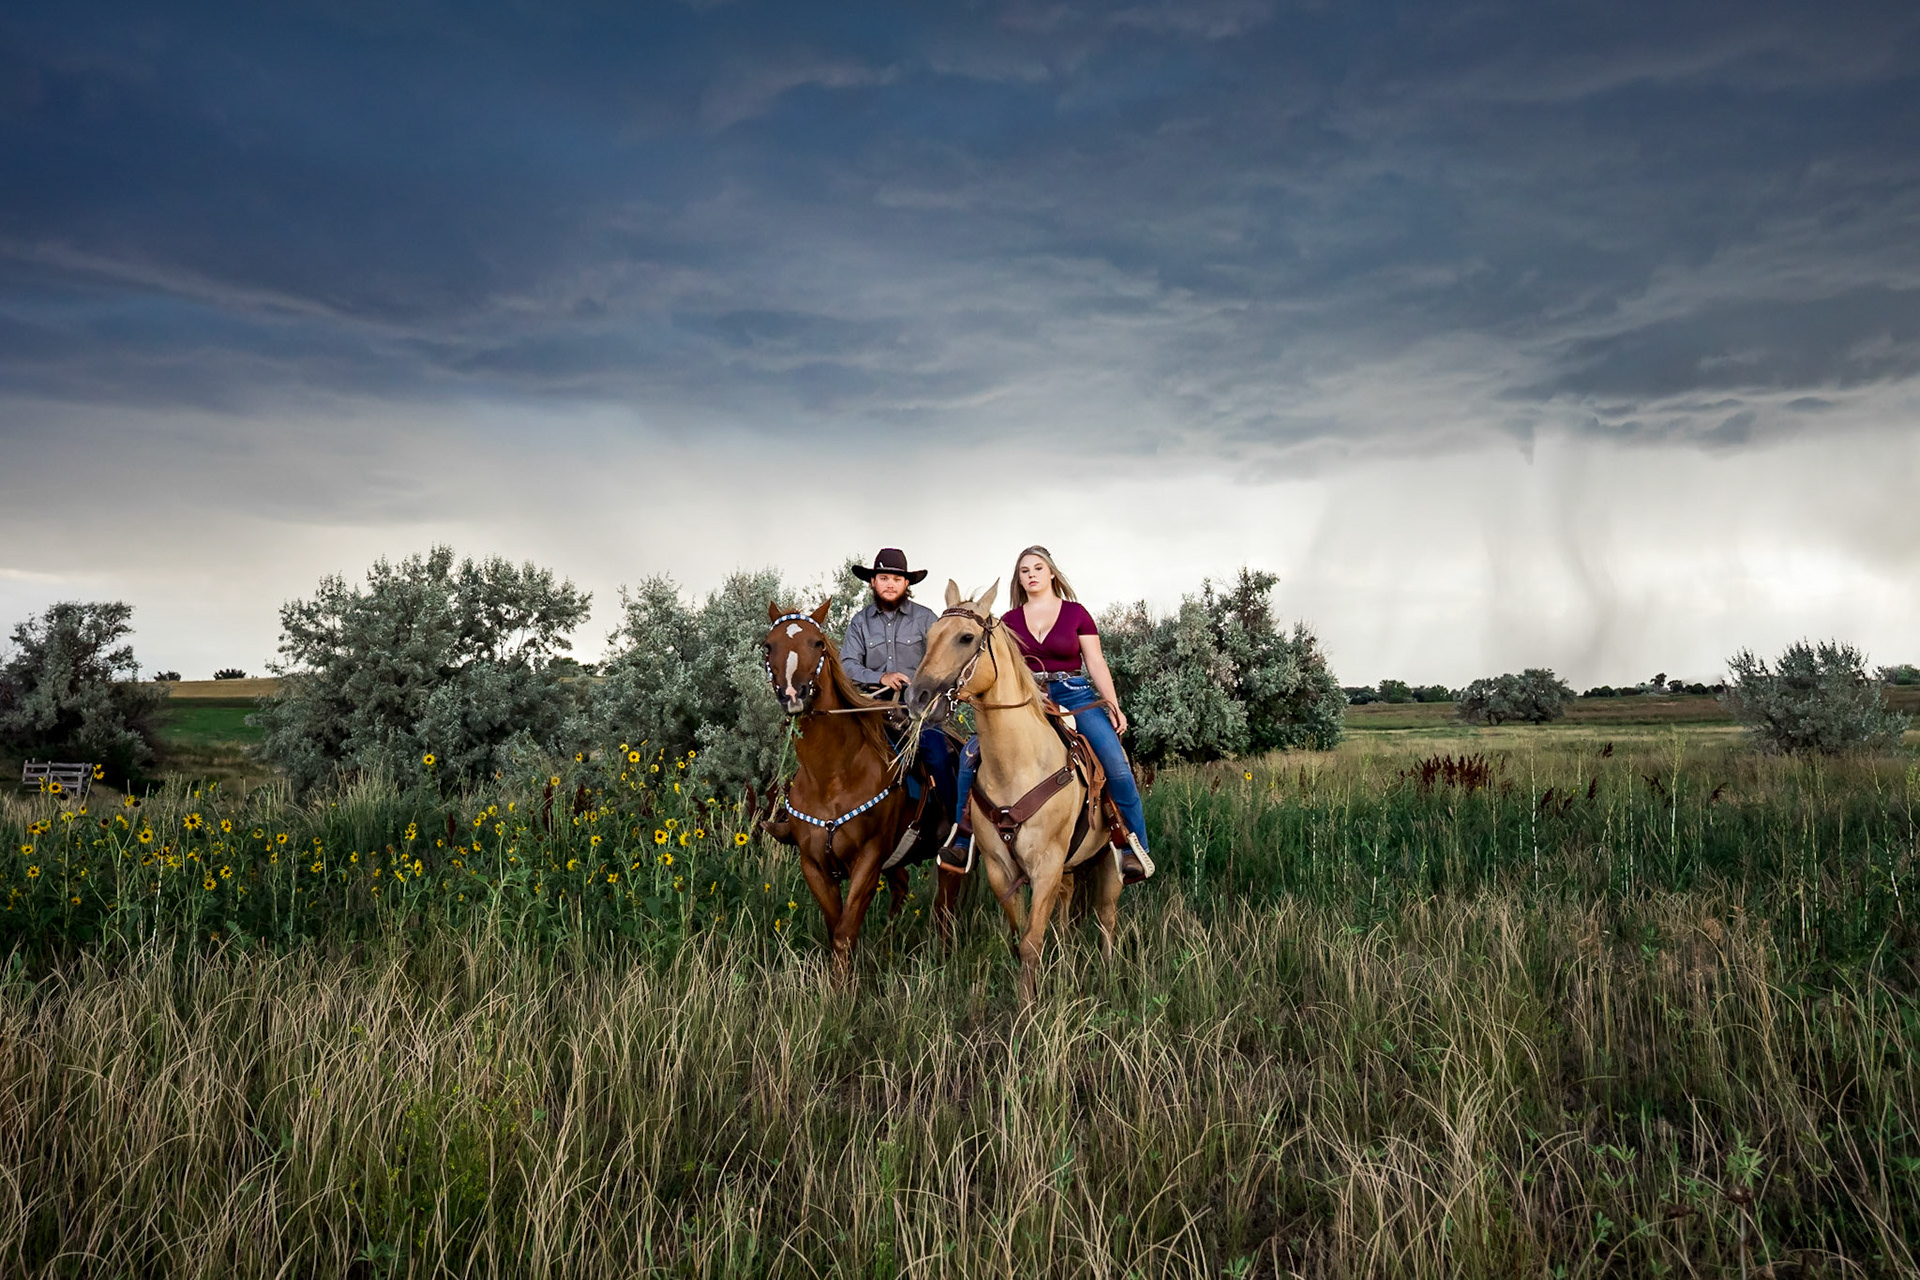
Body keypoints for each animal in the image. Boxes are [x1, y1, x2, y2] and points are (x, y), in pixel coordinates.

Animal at [758, 599, 960, 964]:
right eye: (769, 646)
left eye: (818, 643)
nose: (794, 693)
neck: (833, 776)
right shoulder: (814, 865)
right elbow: (835, 930)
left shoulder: (868, 859)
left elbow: (844, 935)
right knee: (902, 884)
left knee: (946, 905)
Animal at [904, 581, 1124, 1003]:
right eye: (928, 637)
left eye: (966, 637)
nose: (916, 698)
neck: (1019, 764)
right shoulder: (1000, 869)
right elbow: (1020, 935)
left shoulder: (1046, 865)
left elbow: (1031, 943)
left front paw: (1028, 1009)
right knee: (1067, 906)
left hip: (1109, 856)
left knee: (1107, 915)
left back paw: (1108, 973)